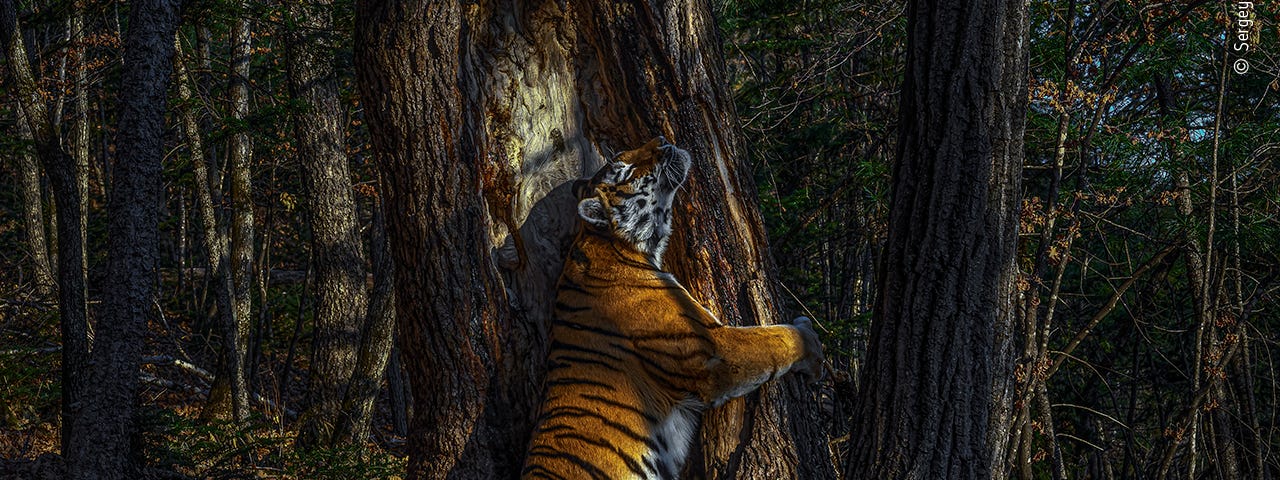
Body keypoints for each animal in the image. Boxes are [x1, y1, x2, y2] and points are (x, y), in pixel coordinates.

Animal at [524, 136, 824, 480]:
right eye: (624, 170)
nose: (662, 140)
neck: (617, 245)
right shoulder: (713, 350)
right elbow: (774, 339)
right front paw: (812, 344)